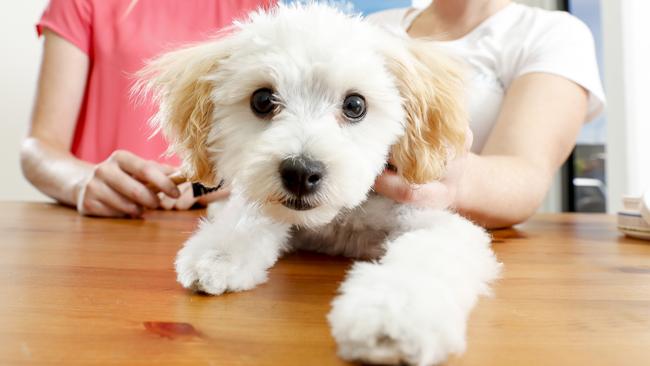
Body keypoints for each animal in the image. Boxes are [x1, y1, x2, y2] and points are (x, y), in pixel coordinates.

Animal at [139, 3, 498, 366]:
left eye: (355, 105)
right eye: (262, 100)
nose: (300, 172)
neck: (339, 219)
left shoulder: (431, 220)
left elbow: (423, 256)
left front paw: (389, 319)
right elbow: (249, 216)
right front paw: (217, 255)